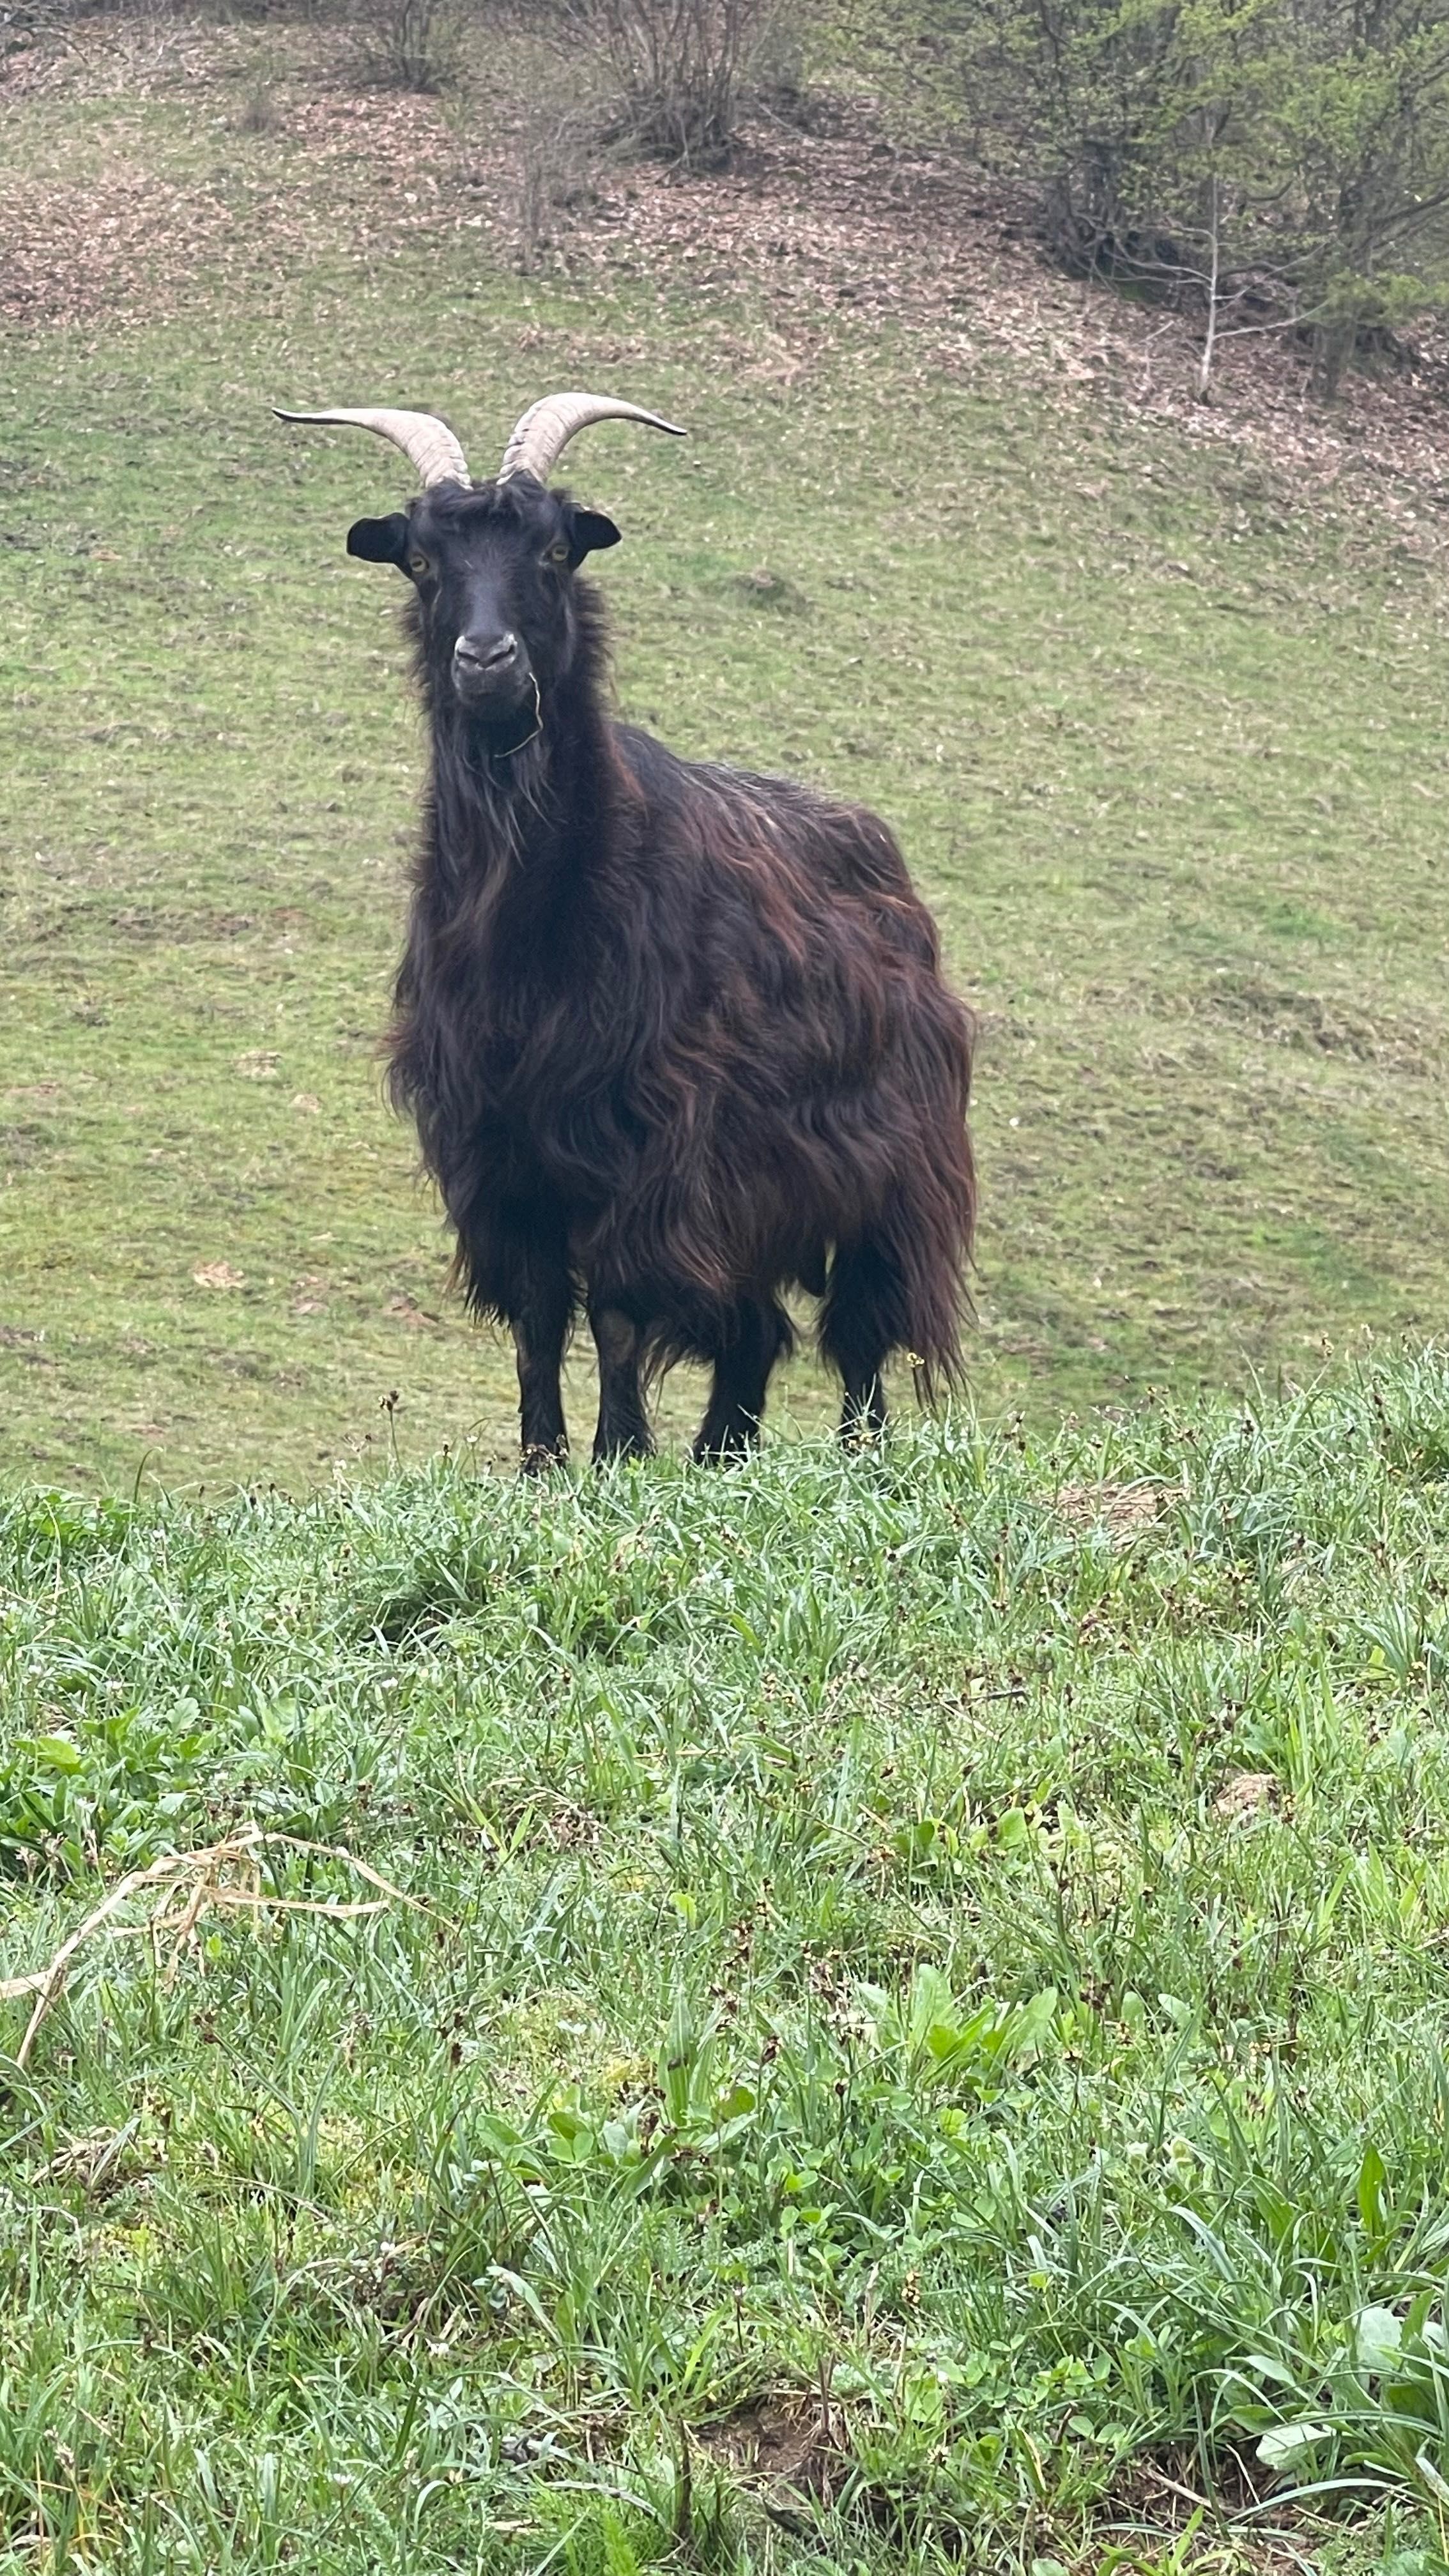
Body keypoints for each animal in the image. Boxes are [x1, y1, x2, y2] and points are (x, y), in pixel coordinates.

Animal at [275, 391, 974, 1463]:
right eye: (423, 560)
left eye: (557, 552)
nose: (487, 661)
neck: (535, 929)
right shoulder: (499, 1155)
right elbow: (535, 1319)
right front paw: (542, 1463)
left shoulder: (646, 1147)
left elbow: (614, 1311)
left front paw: (616, 1456)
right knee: (756, 1331)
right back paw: (720, 1456)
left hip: (887, 1174)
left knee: (859, 1328)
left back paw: (861, 1456)